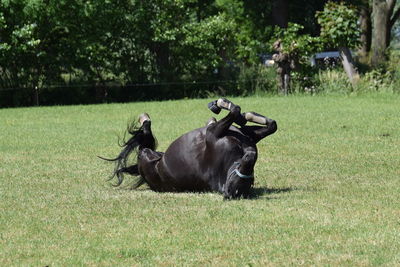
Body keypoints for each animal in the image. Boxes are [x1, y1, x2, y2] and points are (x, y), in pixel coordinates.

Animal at [101, 98, 276, 199]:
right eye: (241, 169)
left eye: (243, 180)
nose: (250, 155)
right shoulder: (247, 135)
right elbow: (272, 124)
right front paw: (245, 114)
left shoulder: (213, 134)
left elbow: (235, 110)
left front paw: (222, 105)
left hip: (146, 154)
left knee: (145, 139)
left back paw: (144, 118)